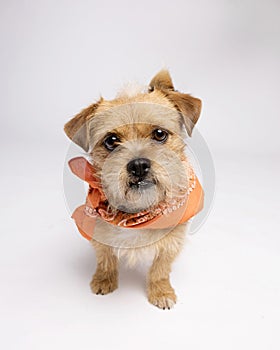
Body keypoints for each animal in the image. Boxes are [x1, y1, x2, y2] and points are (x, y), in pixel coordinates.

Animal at [64, 70, 202, 308]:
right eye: (111, 141)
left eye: (159, 134)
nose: (138, 165)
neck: (137, 211)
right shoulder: (98, 231)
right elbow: (105, 259)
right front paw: (104, 280)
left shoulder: (172, 241)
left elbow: (160, 269)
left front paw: (161, 291)